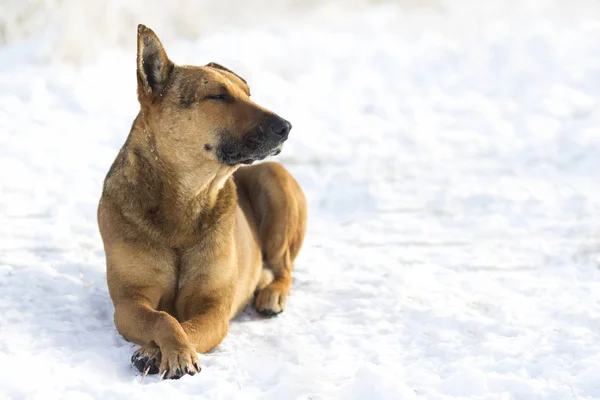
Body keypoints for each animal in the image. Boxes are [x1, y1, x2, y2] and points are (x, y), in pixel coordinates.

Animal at [98, 23, 308, 380]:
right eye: (219, 96)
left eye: (247, 93)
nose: (286, 126)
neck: (186, 199)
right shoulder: (129, 302)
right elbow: (163, 318)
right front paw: (164, 350)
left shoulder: (213, 308)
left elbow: (188, 326)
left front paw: (162, 352)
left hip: (274, 179)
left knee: (284, 268)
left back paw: (272, 293)